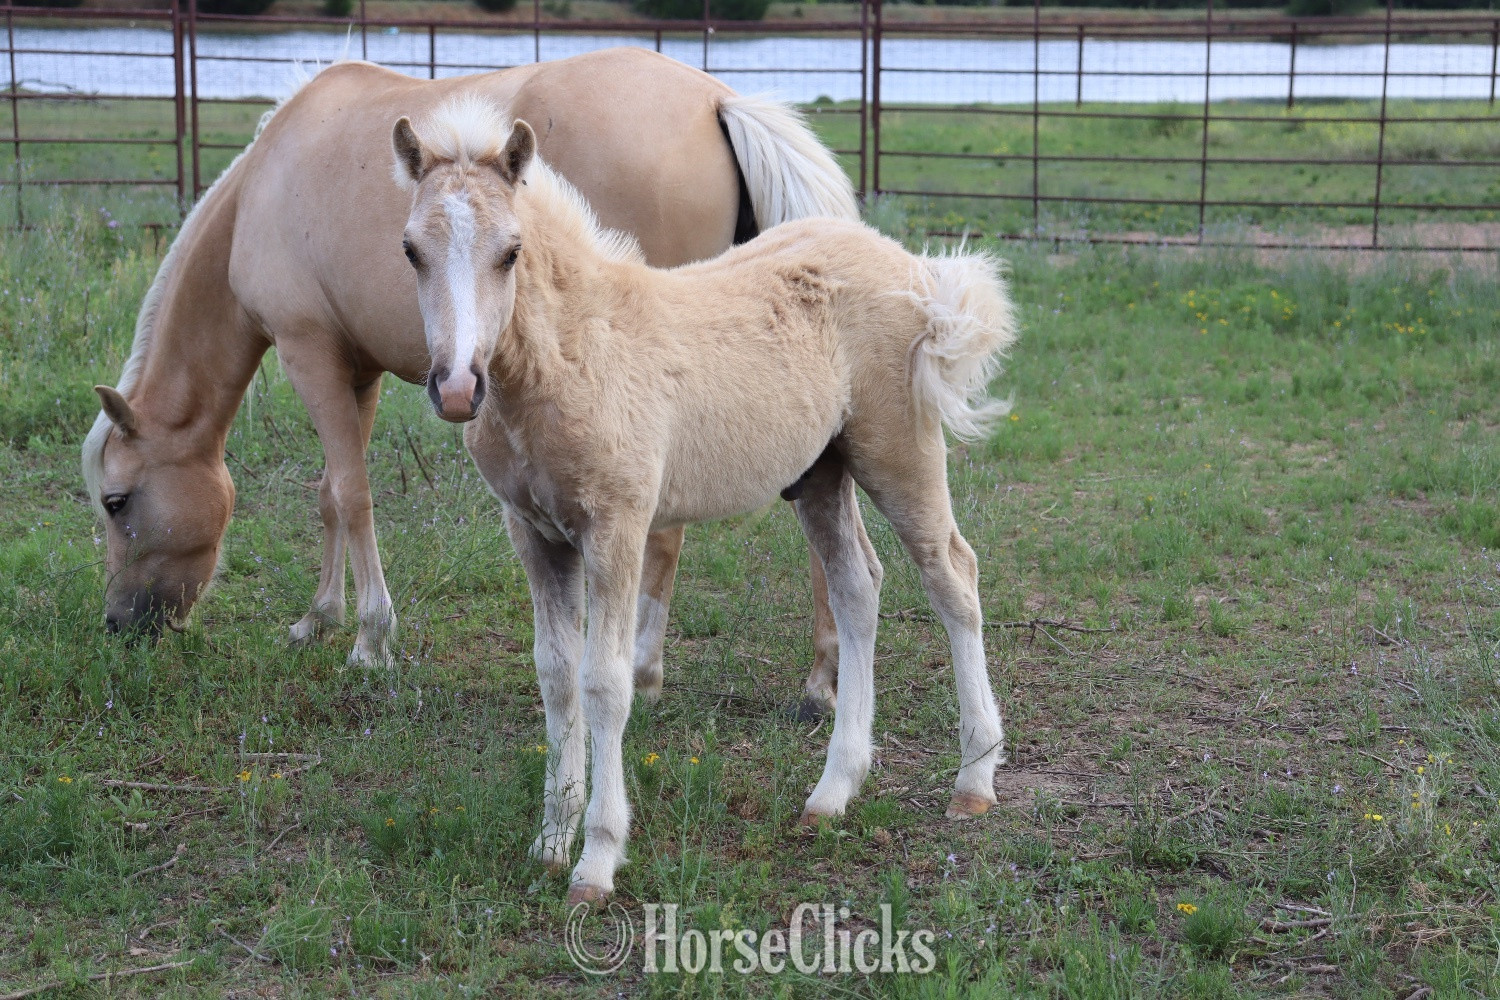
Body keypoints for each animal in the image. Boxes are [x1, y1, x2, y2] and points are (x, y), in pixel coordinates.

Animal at [80, 47, 863, 711]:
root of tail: (717, 99)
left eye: (117, 503)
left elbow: (354, 496)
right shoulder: (356, 372)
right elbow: (331, 495)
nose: (117, 623)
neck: (262, 187)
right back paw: (823, 678)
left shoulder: (310, 357)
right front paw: (318, 619)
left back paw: (648, 668)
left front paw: (370, 637)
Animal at [392, 98, 1017, 903]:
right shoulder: (534, 531)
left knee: (953, 577)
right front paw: (550, 841)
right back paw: (833, 791)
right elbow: (556, 678)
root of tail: (909, 265)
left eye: (510, 251)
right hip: (819, 473)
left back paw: (974, 779)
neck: (571, 355)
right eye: (412, 250)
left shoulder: (616, 527)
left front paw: (596, 860)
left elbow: (605, 683)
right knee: (858, 587)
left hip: (898, 452)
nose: (457, 388)